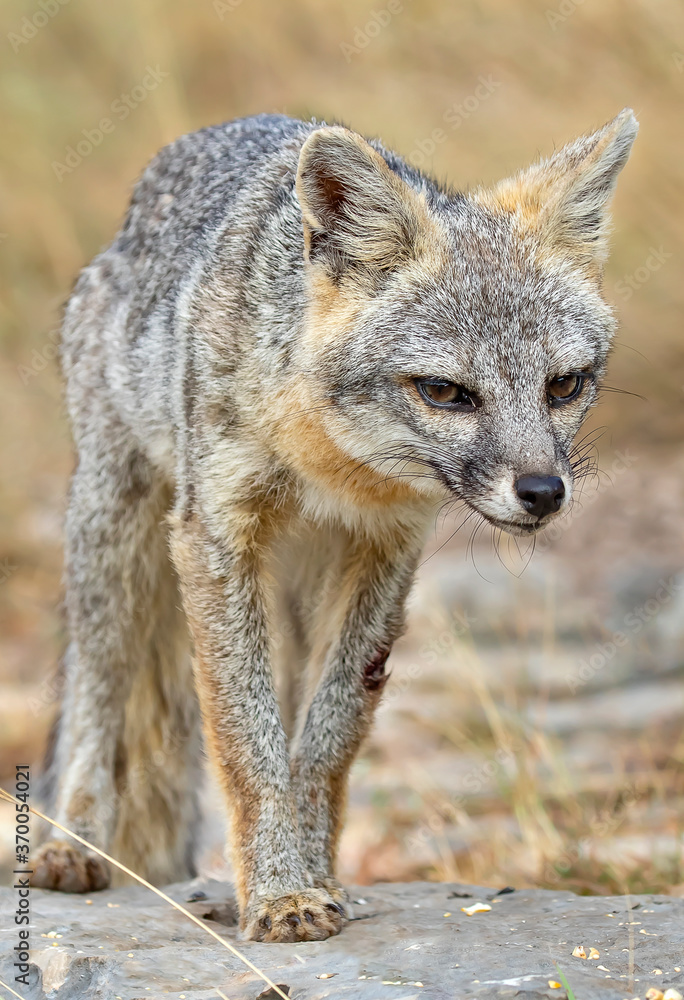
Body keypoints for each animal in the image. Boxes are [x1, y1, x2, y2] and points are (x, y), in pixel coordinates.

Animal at [32, 113, 636, 940]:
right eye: (445, 392)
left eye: (564, 386)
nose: (543, 493)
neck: (331, 467)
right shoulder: (214, 539)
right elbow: (246, 742)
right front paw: (280, 894)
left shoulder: (387, 553)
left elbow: (326, 738)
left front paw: (308, 880)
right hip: (113, 537)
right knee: (97, 694)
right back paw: (74, 845)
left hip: (292, 593)